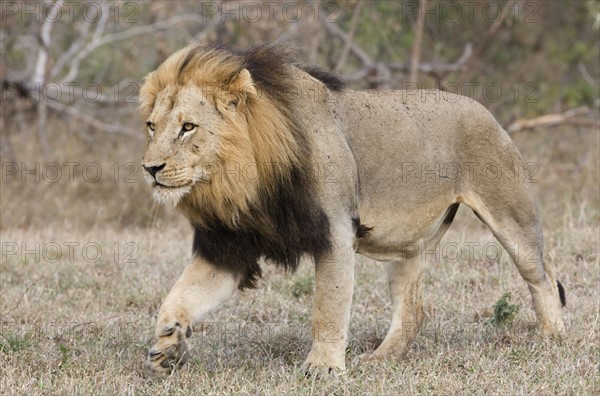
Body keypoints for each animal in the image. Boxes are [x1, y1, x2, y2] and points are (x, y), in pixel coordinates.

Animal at [138, 43, 564, 378]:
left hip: (512, 217)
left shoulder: (336, 232)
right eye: (152, 127)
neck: (243, 182)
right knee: (412, 310)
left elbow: (327, 306)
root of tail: (483, 109)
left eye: (188, 127)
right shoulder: (228, 246)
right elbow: (180, 296)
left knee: (543, 277)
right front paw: (167, 346)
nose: (150, 168)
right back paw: (380, 359)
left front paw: (322, 367)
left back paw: (552, 338)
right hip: (407, 245)